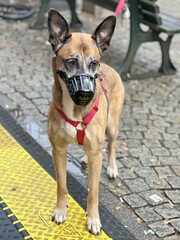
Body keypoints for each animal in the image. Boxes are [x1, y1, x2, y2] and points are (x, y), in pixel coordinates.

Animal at [47, 8, 124, 234]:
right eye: (71, 62)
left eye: (93, 63)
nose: (86, 94)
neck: (75, 109)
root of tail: (110, 66)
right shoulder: (58, 150)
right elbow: (62, 186)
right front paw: (61, 211)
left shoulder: (95, 154)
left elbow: (93, 193)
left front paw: (94, 220)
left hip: (112, 125)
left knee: (112, 145)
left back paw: (112, 168)